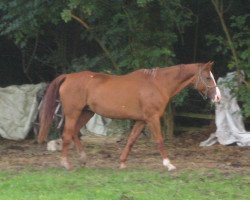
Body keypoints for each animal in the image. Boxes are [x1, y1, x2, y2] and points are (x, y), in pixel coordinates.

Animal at [37, 61, 221, 170]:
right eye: (207, 77)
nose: (218, 98)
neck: (157, 84)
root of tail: (67, 76)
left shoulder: (141, 120)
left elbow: (131, 140)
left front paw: (122, 162)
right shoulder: (152, 118)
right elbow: (159, 140)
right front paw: (168, 164)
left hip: (86, 113)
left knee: (74, 133)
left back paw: (82, 159)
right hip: (73, 113)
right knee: (67, 134)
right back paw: (66, 163)